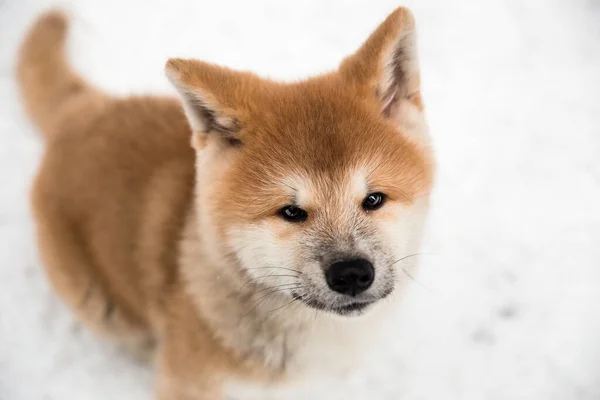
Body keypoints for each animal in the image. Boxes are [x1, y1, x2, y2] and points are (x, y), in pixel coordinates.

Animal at [17, 7, 432, 400]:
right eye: (291, 212)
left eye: (374, 199)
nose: (352, 274)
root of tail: (80, 111)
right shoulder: (189, 384)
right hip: (100, 305)